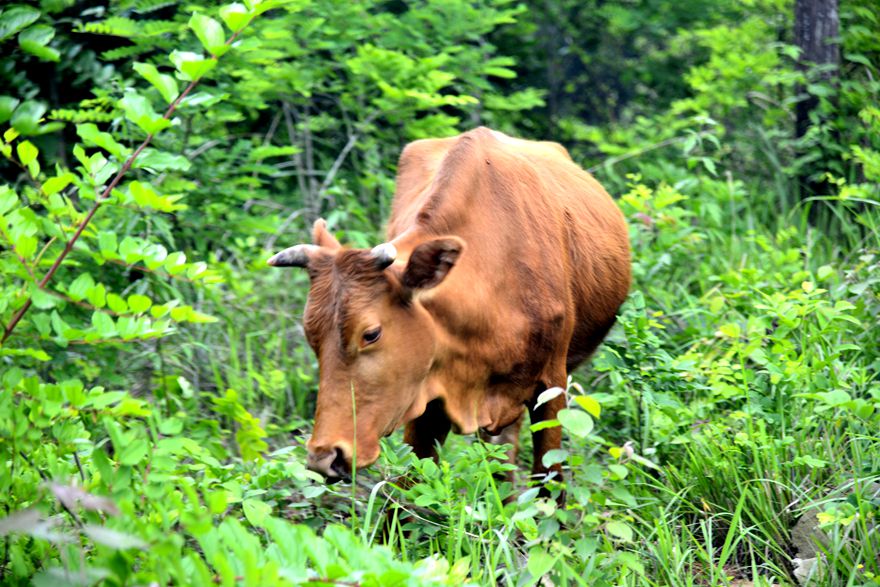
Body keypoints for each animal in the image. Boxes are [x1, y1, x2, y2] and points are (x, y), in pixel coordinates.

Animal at [270, 127, 632, 486]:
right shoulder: (427, 402)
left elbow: (549, 485)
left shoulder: (552, 386)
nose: (324, 456)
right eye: (311, 335)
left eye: (370, 333)